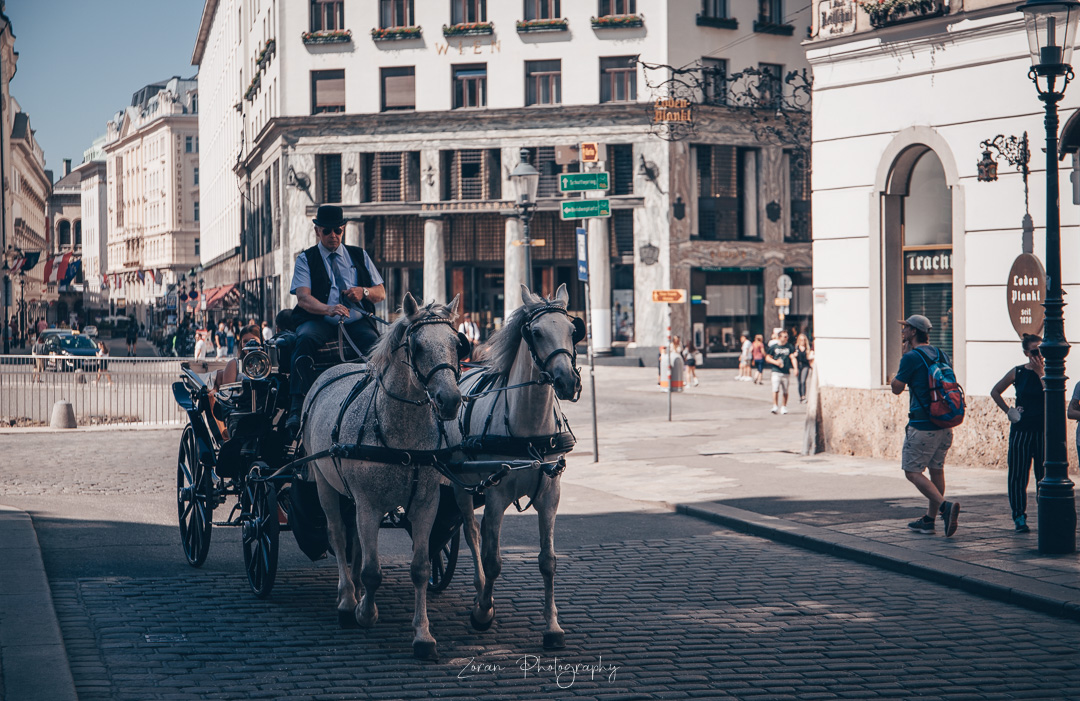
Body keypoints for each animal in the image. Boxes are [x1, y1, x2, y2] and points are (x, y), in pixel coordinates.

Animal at [306, 291, 470, 661]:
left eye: (457, 343)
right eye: (417, 346)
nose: (450, 400)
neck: (402, 437)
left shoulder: (426, 503)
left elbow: (420, 568)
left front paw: (423, 635)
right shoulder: (368, 504)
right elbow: (372, 571)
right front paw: (365, 612)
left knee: (352, 540)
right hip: (323, 482)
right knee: (337, 534)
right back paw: (346, 598)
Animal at [444, 280, 587, 648]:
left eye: (573, 330)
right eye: (535, 332)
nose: (568, 382)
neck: (529, 431)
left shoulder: (550, 496)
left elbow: (548, 561)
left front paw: (552, 627)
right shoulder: (496, 495)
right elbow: (493, 560)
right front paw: (482, 613)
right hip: (461, 486)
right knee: (472, 532)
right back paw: (481, 593)